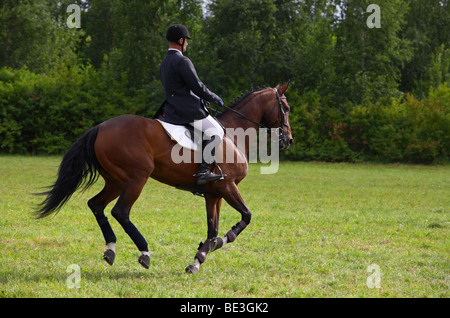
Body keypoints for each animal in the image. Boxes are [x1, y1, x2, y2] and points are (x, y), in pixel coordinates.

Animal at [37, 81, 294, 274]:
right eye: (286, 107)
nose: (288, 140)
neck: (233, 134)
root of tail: (100, 127)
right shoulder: (228, 186)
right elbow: (246, 216)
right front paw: (222, 241)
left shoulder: (214, 193)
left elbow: (212, 229)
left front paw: (198, 259)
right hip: (136, 179)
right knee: (120, 211)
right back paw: (144, 252)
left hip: (116, 181)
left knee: (96, 205)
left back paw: (110, 249)